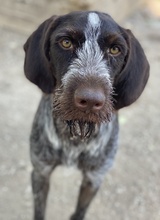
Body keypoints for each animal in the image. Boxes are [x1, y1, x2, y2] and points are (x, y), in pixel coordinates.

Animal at [23, 10, 149, 220]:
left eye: (115, 49)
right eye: (66, 42)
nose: (90, 101)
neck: (74, 137)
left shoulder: (94, 179)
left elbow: (80, 211)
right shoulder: (40, 172)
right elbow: (39, 211)